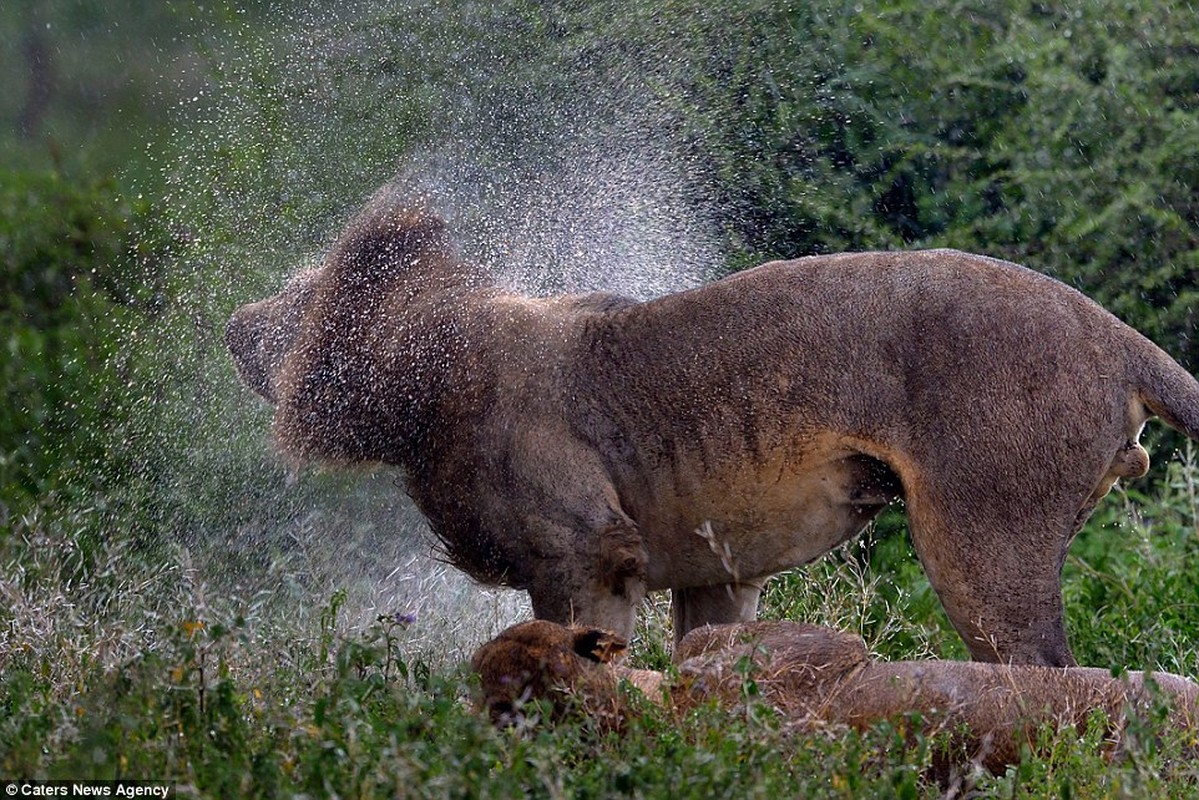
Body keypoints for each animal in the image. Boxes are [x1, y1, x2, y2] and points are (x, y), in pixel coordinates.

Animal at [226, 185, 1199, 662]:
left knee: (1050, 680)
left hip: (979, 531)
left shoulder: (589, 551)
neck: (433, 393)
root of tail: (1116, 333)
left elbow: (584, 658)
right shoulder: (717, 568)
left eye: (295, 304)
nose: (233, 324)